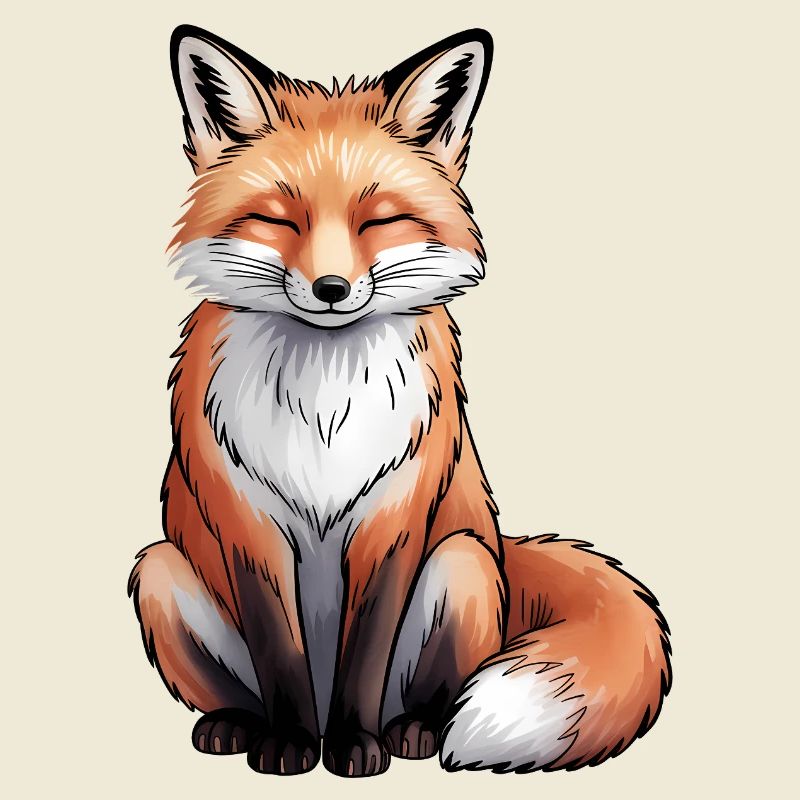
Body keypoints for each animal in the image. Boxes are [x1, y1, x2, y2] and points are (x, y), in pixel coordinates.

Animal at [128, 25, 672, 778]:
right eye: (276, 219)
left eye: (379, 221)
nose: (330, 288)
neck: (324, 410)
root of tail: (504, 547)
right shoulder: (249, 525)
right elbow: (279, 649)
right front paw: (291, 746)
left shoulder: (393, 518)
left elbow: (366, 650)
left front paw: (354, 747)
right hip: (158, 570)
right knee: (238, 687)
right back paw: (239, 725)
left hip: (463, 564)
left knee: (431, 696)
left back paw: (409, 733)